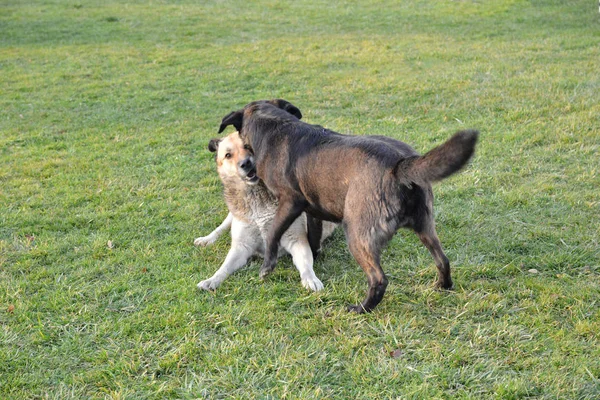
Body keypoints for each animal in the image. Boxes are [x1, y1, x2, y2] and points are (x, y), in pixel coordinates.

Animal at [197, 130, 338, 290]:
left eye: (248, 146)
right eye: (228, 155)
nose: (246, 163)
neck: (258, 196)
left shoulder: (297, 240)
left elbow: (306, 264)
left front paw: (310, 279)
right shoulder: (241, 246)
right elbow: (224, 267)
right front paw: (212, 280)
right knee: (221, 227)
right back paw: (206, 239)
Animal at [217, 100, 478, 312]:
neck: (274, 125)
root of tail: (400, 165)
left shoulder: (289, 202)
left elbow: (272, 234)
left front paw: (266, 267)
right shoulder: (313, 210)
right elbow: (313, 238)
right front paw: (313, 257)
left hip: (357, 234)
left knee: (379, 279)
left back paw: (362, 309)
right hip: (425, 227)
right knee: (443, 260)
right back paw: (443, 286)